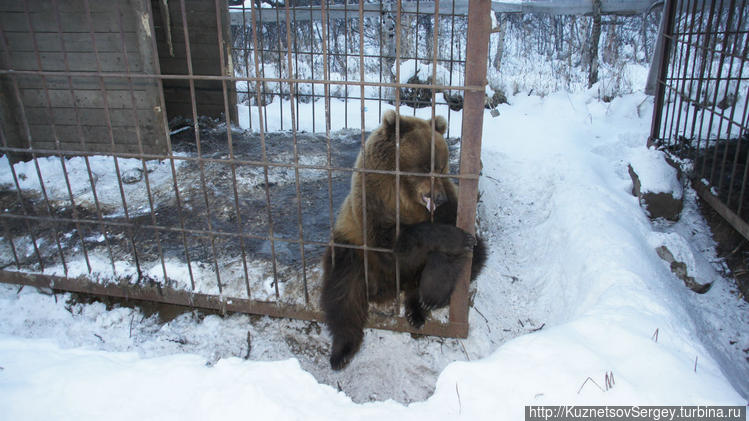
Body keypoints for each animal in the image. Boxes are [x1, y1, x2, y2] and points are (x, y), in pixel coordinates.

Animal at [320, 110, 486, 370]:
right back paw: (342, 351)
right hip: (352, 250)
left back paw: (417, 309)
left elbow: (456, 250)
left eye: (441, 167)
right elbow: (392, 242)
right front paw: (454, 237)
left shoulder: (450, 204)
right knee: (342, 290)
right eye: (424, 167)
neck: (405, 195)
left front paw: (433, 293)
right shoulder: (373, 202)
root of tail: (387, 289)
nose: (438, 198)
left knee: (475, 257)